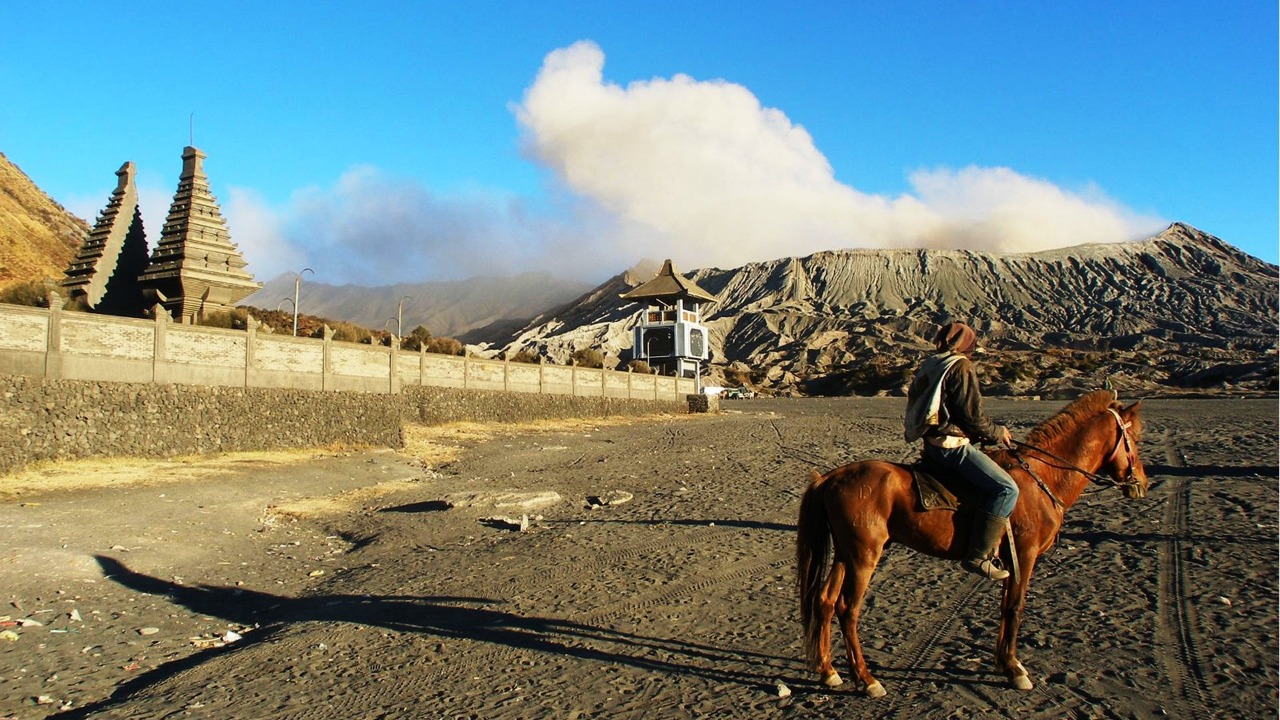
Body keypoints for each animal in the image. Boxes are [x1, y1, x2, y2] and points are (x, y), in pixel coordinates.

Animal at [798, 389, 1152, 691]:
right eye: (1134, 439)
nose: (1142, 483)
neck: (1042, 478)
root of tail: (829, 478)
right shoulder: (1025, 555)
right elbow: (1015, 607)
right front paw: (1015, 670)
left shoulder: (1010, 560)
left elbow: (1006, 606)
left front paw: (1005, 664)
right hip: (864, 556)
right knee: (848, 609)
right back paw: (867, 679)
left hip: (845, 554)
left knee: (825, 602)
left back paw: (829, 671)